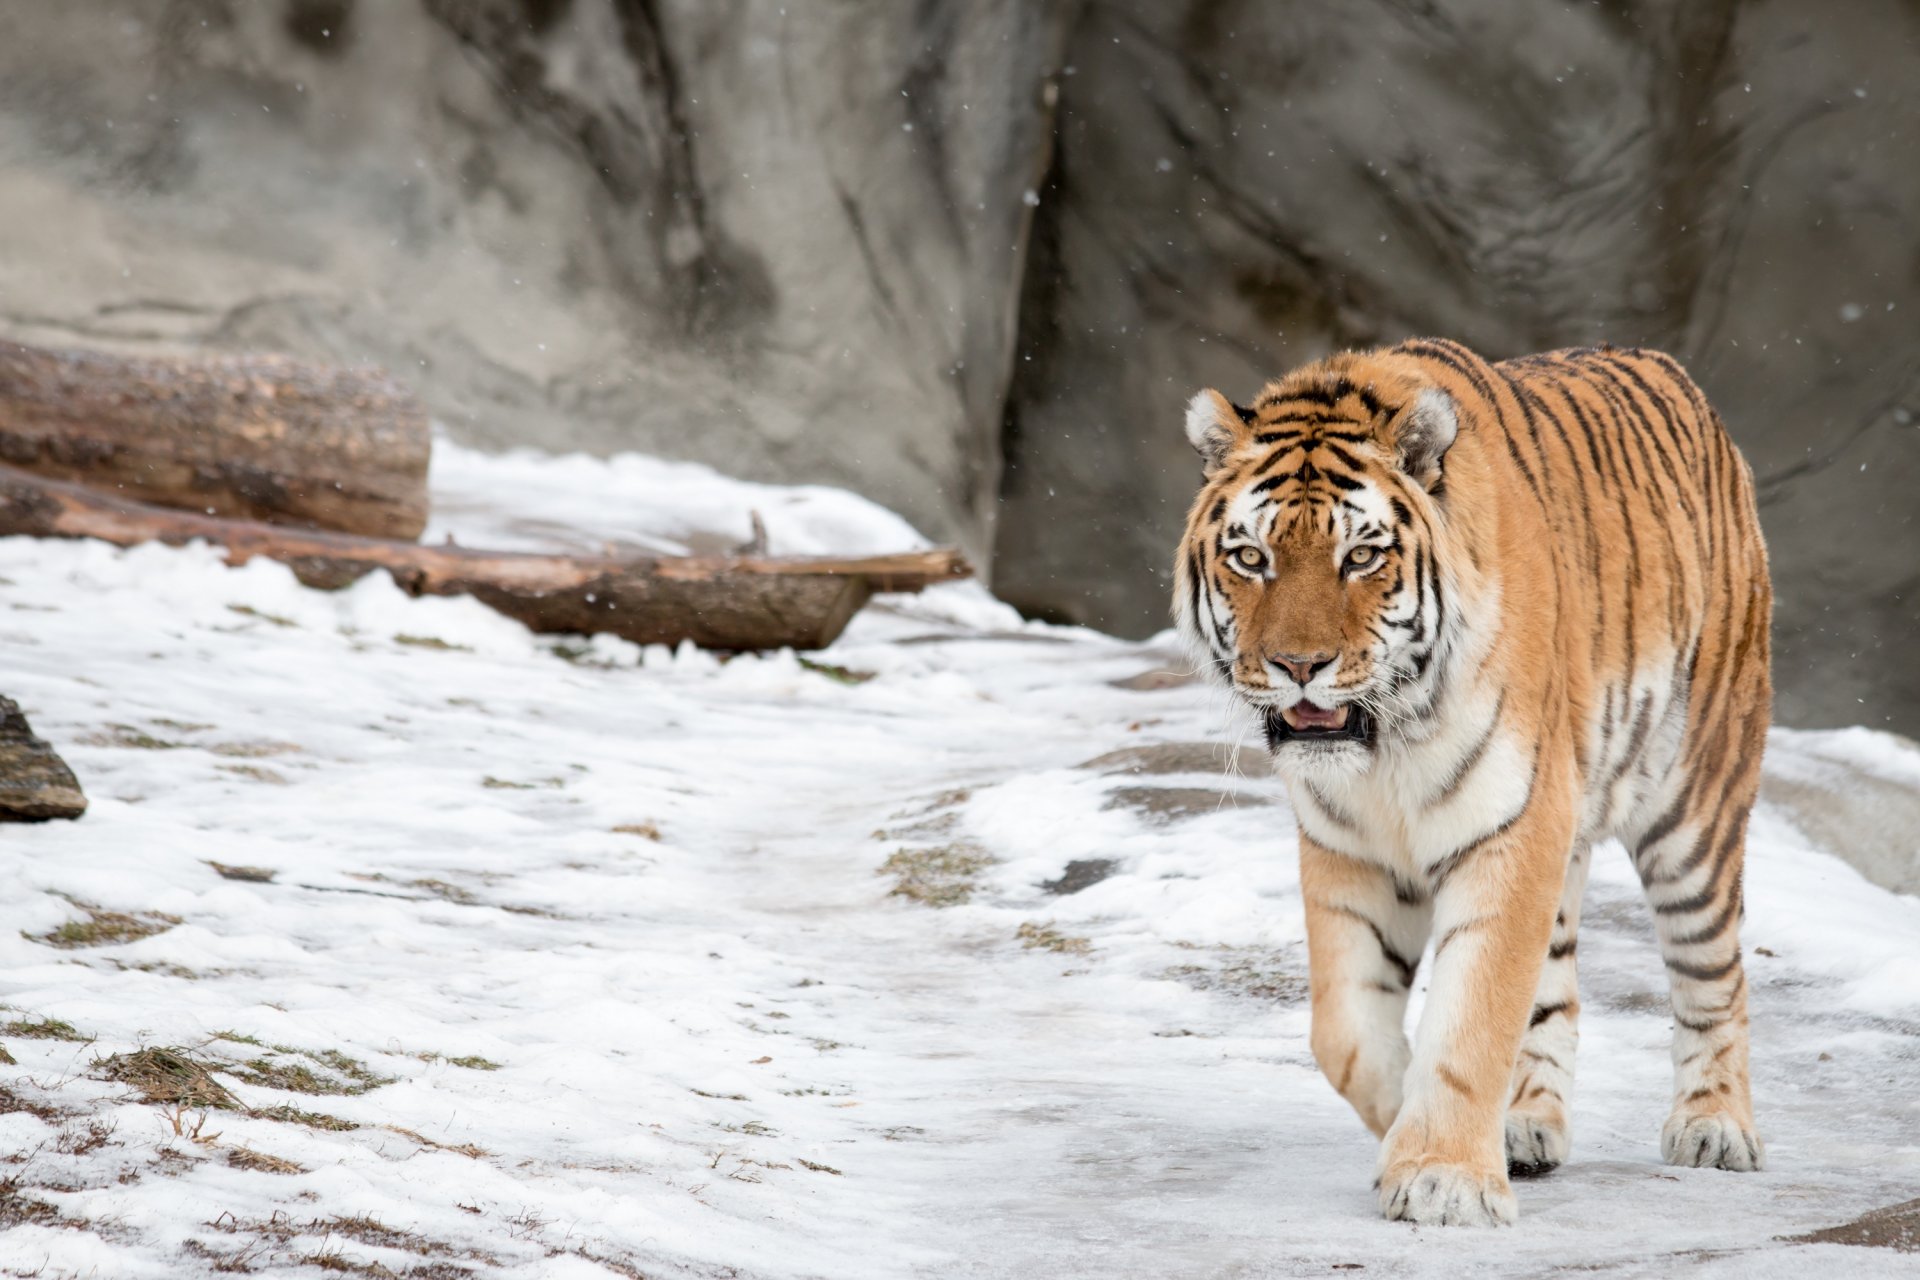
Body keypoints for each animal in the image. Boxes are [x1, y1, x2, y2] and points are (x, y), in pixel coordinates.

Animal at [1173, 337, 1770, 1226]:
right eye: (1252, 557)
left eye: (1361, 556)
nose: (1299, 666)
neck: (1386, 746)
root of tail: (1678, 376)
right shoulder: (1348, 847)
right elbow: (1346, 1031)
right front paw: (1413, 1130)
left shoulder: (1510, 830)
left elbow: (1472, 1017)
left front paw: (1444, 1178)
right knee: (1556, 992)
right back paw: (1526, 1126)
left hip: (1694, 804)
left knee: (1713, 973)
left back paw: (1715, 1127)